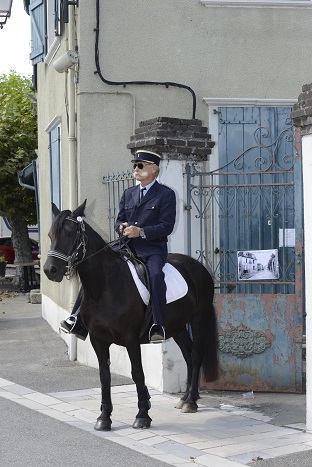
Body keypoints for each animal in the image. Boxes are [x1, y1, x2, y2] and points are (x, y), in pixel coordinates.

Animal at [43, 201, 219, 432]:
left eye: (70, 233)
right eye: (50, 235)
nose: (50, 270)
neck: (105, 287)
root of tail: (197, 266)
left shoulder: (131, 339)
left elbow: (137, 373)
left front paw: (143, 415)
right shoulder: (98, 340)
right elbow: (104, 376)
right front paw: (104, 418)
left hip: (198, 319)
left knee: (196, 355)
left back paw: (190, 401)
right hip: (177, 326)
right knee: (188, 355)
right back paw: (187, 398)